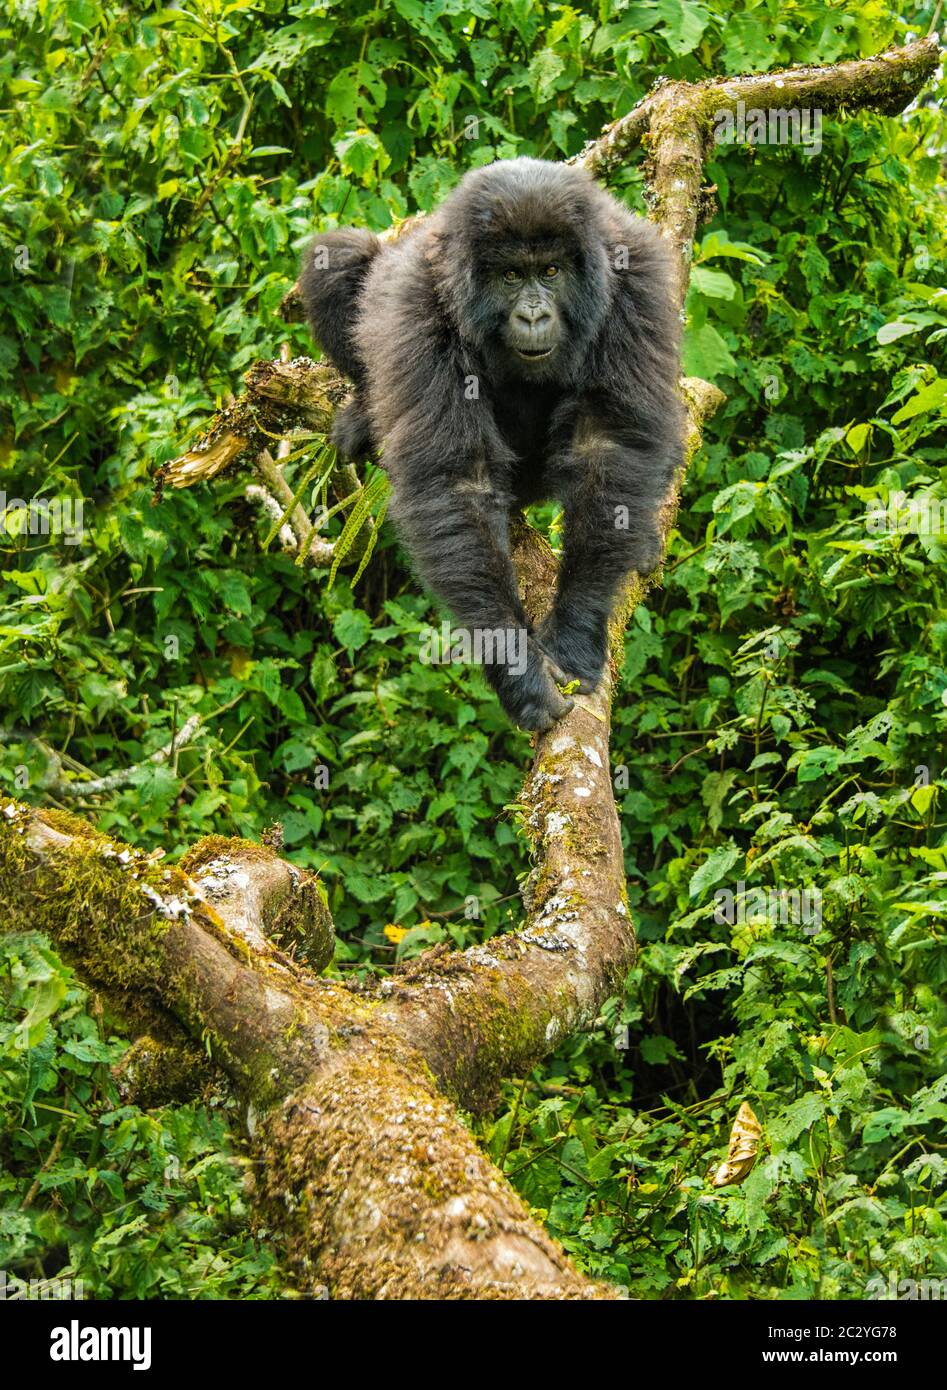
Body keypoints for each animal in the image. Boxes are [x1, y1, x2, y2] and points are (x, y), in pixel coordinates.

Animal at [297, 157, 678, 733]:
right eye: (510, 276)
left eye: (551, 272)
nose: (533, 316)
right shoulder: (418, 305)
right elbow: (459, 480)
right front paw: (520, 672)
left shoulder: (639, 279)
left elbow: (607, 450)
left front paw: (576, 631)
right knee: (339, 257)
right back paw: (363, 411)